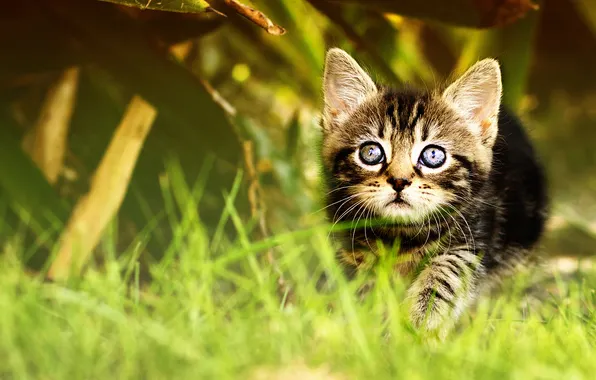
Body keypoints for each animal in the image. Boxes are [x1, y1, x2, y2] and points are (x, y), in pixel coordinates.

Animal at [318, 47, 548, 336]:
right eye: (370, 152)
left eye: (433, 155)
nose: (399, 181)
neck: (402, 234)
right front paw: (368, 319)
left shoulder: (474, 239)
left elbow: (446, 272)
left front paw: (420, 323)